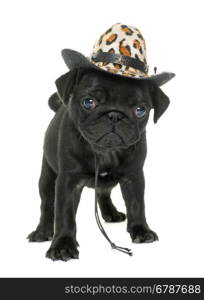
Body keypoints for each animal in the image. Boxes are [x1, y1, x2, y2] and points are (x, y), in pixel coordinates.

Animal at [27, 67, 170, 260]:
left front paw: (141, 230)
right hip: (47, 177)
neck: (105, 152)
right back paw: (42, 231)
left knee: (103, 193)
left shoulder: (134, 177)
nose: (115, 114)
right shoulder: (68, 181)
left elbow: (137, 205)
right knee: (47, 205)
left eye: (141, 110)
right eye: (88, 102)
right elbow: (64, 213)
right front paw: (63, 245)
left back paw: (111, 213)